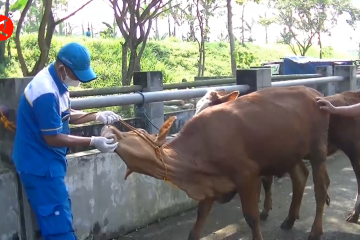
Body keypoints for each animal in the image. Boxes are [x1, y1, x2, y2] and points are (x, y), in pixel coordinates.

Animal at [102, 86, 330, 240]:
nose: (108, 129)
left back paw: (315, 231)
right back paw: (290, 220)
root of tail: (314, 92)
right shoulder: (209, 182)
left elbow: (251, 216)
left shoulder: (248, 176)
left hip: (318, 151)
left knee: (320, 190)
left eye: (138, 133)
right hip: (291, 154)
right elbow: (197, 223)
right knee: (301, 177)